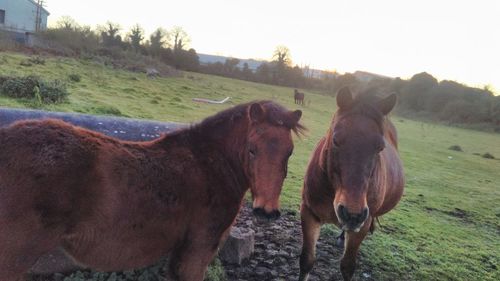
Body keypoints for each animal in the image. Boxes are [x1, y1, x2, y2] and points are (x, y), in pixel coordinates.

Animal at [298, 87, 404, 280]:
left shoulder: (363, 224)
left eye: (380, 147)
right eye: (335, 140)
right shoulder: (309, 213)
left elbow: (347, 266)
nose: (352, 213)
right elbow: (306, 260)